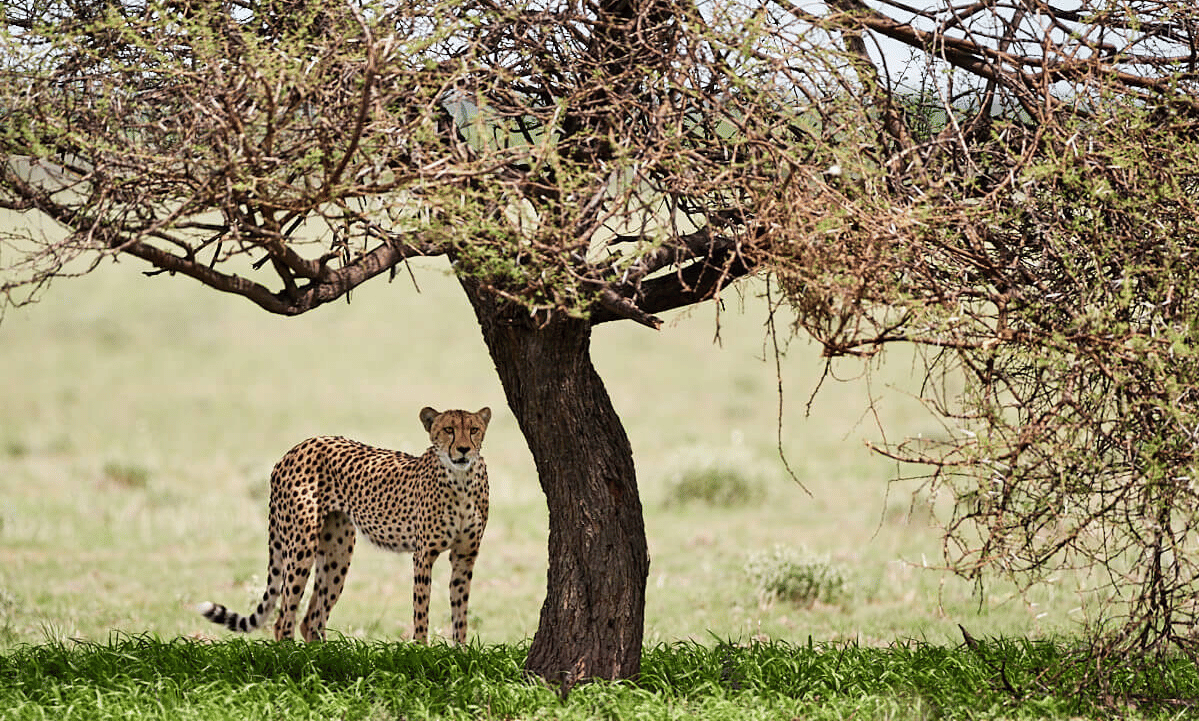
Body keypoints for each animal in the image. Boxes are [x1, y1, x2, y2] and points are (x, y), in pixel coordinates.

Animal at [198, 406, 491, 644]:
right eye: (449, 430)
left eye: (474, 430)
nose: (463, 449)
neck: (461, 482)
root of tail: (297, 448)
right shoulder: (424, 555)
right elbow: (421, 610)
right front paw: (421, 652)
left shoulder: (465, 555)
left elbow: (460, 612)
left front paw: (461, 654)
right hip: (302, 546)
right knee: (284, 620)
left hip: (338, 553)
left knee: (312, 619)